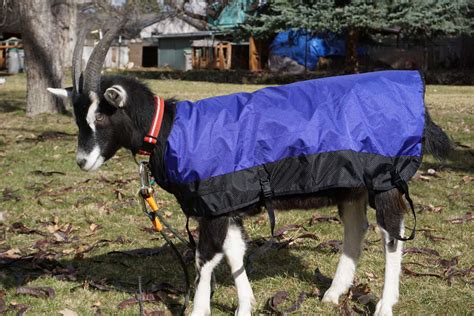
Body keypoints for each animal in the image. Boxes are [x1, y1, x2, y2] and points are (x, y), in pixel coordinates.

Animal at [49, 19, 452, 316]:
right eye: (78, 117)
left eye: (102, 115)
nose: (83, 161)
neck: (171, 129)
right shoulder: (224, 203)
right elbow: (234, 251)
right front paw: (246, 305)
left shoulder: (213, 203)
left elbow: (206, 257)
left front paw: (199, 309)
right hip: (350, 183)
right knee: (357, 228)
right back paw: (334, 294)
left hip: (384, 178)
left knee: (391, 232)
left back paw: (385, 304)